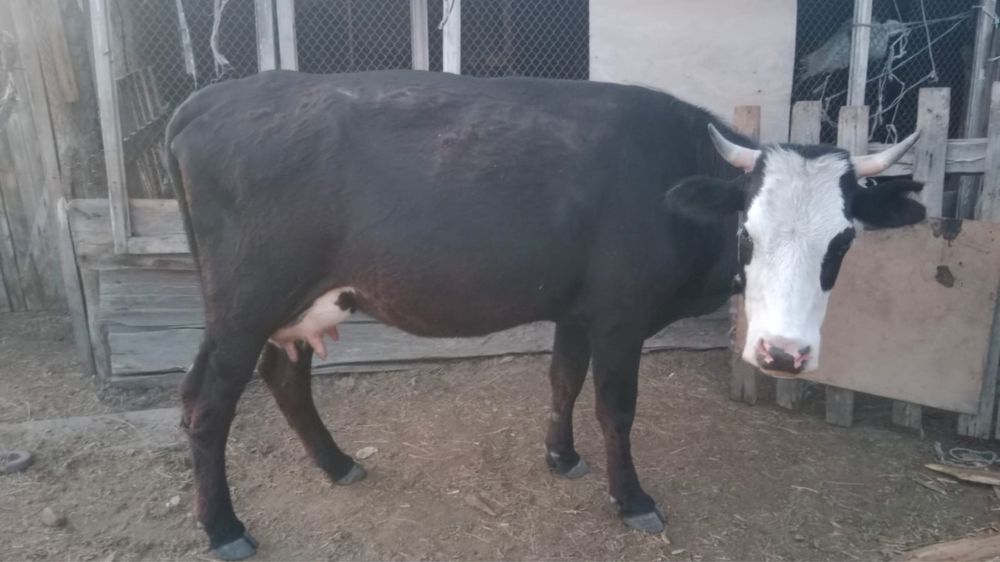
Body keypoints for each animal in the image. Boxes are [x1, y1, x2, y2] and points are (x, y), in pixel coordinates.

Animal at [164, 69, 924, 560]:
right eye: (748, 232)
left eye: (843, 240)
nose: (782, 353)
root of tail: (210, 99)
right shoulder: (619, 315)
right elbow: (615, 406)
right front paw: (632, 500)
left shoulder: (577, 309)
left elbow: (563, 379)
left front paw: (562, 457)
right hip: (245, 302)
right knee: (206, 403)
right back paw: (224, 529)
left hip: (287, 306)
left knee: (285, 380)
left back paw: (337, 463)